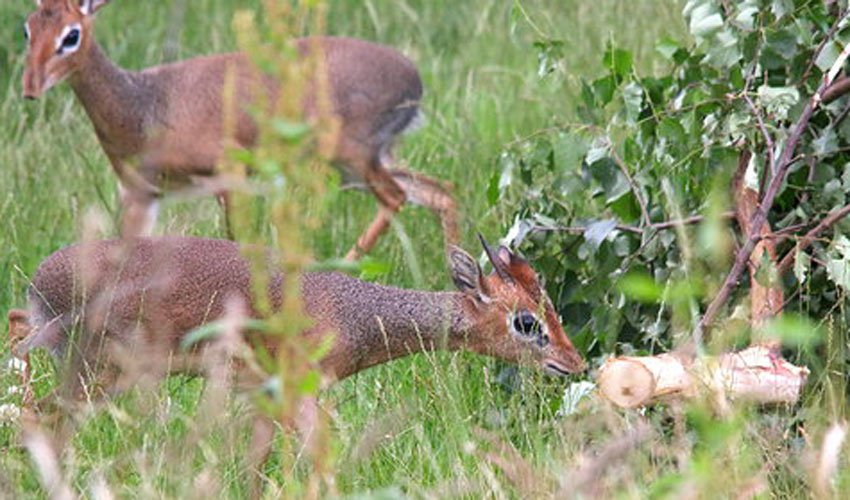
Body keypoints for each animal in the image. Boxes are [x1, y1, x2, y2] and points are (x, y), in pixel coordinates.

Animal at [6, 236, 588, 490]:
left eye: (551, 308)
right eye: (525, 321)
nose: (575, 363)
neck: (354, 313)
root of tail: (40, 283)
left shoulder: (267, 395)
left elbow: (256, 466)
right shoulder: (301, 390)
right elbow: (320, 458)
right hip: (96, 374)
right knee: (37, 416)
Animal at [21, 0, 458, 258]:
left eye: (71, 35)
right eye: (27, 29)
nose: (29, 88)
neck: (144, 104)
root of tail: (415, 80)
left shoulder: (227, 177)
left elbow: (238, 242)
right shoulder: (142, 193)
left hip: (352, 155)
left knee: (397, 196)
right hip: (363, 163)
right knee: (440, 191)